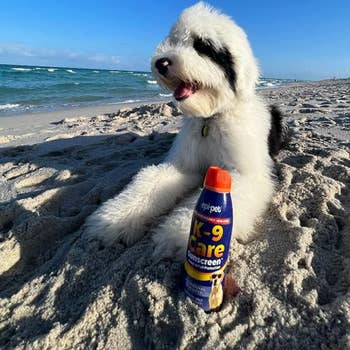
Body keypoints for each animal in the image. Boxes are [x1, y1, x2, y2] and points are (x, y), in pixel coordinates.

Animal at [84, 2, 288, 260]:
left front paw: (180, 235)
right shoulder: (184, 165)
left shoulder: (247, 174)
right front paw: (114, 218)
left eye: (203, 46)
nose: (161, 63)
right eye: (174, 40)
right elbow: (151, 181)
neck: (210, 120)